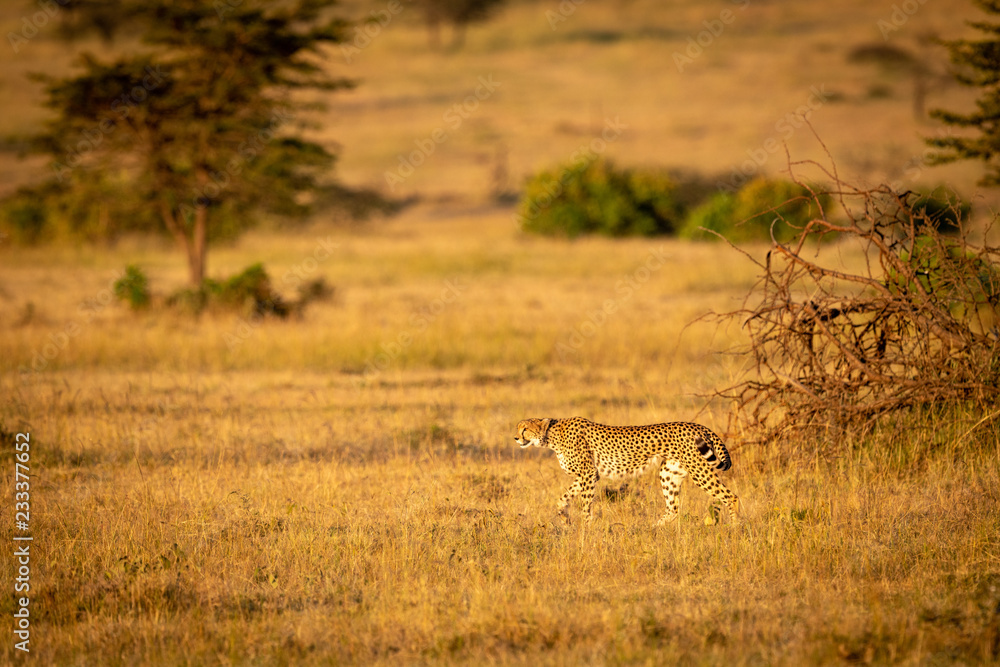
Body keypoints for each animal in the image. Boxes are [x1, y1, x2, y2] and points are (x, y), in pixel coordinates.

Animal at [516, 418, 744, 528]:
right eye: (518, 428)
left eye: (525, 429)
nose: (516, 438)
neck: (552, 436)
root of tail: (697, 425)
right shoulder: (587, 475)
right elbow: (562, 499)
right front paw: (565, 519)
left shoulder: (588, 474)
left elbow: (585, 504)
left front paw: (585, 528)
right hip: (669, 472)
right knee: (673, 508)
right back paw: (652, 528)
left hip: (699, 471)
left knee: (731, 497)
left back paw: (734, 529)